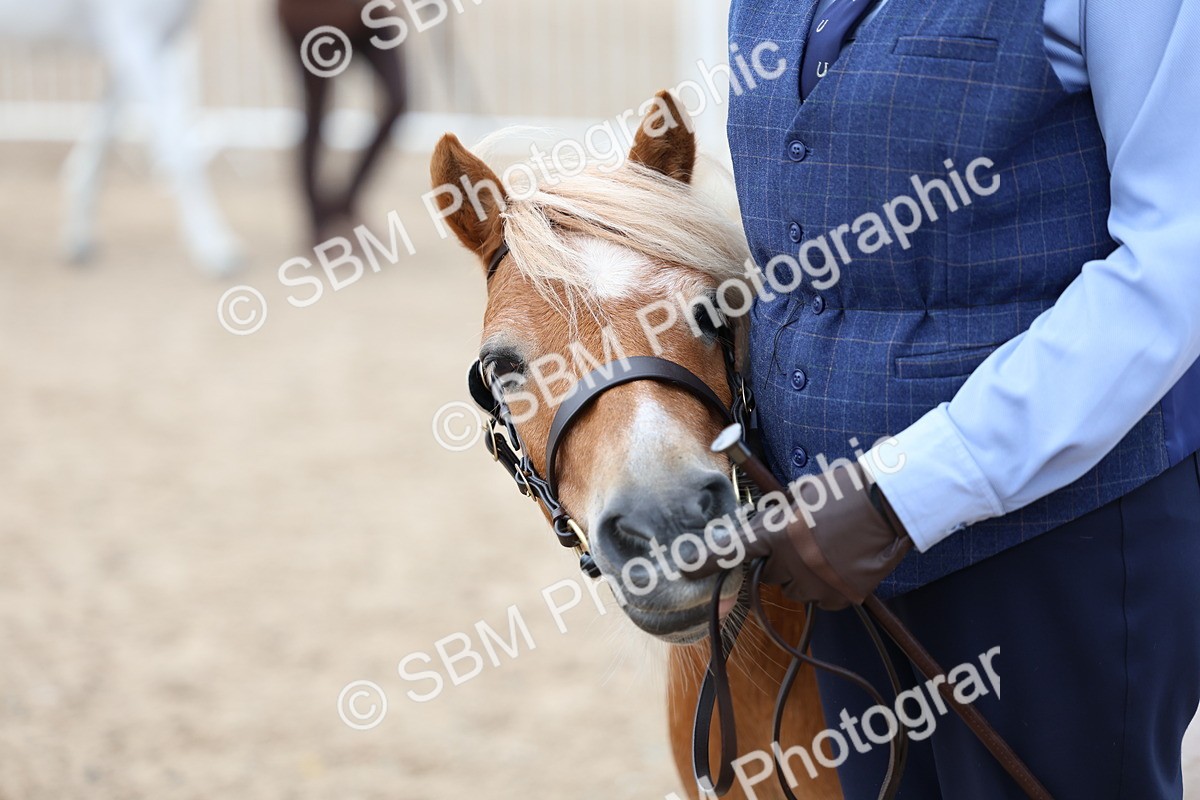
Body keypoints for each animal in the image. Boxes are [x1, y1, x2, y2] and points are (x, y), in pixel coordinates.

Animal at [0, 0, 243, 275]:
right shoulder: (137, 40)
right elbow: (179, 152)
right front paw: (213, 245)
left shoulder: (148, 43)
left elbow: (103, 137)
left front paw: (78, 235)